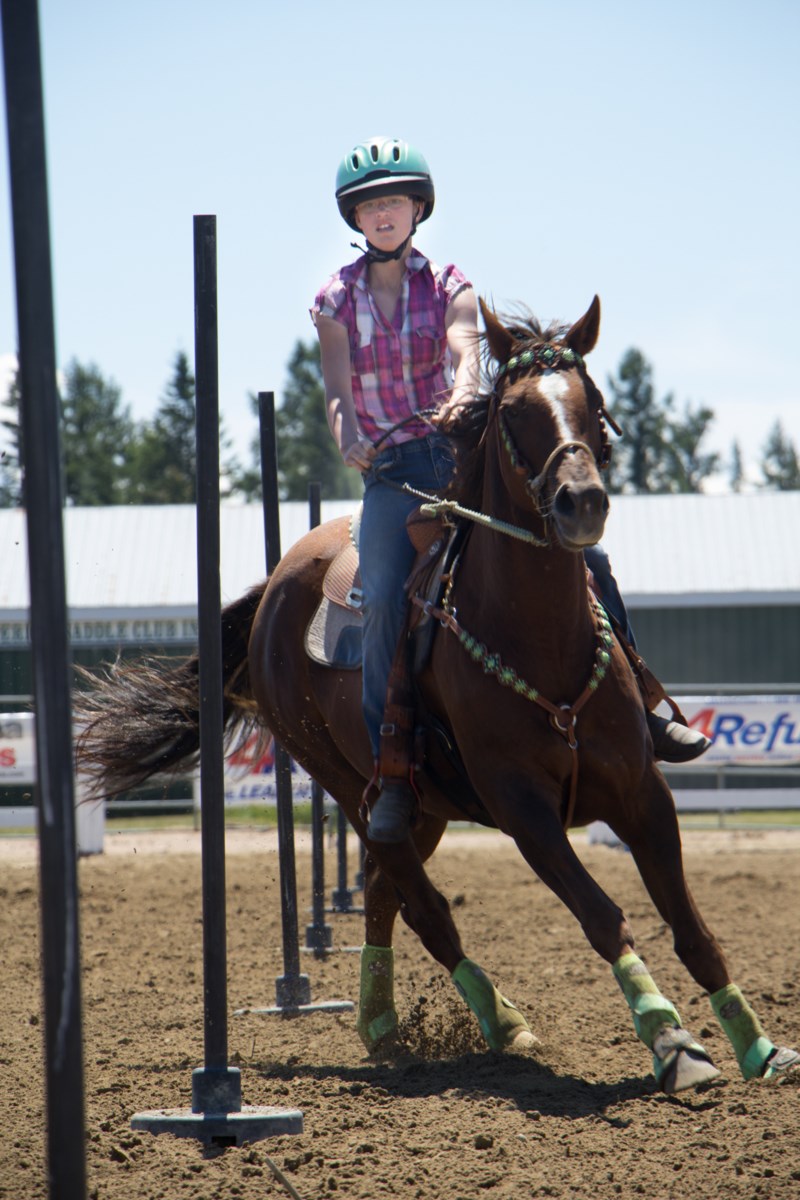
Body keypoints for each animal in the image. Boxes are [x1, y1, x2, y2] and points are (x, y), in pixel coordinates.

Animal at [73, 295, 796, 1094]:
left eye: (593, 403)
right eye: (514, 413)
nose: (582, 503)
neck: (540, 641)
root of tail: (275, 589)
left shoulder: (644, 794)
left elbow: (693, 927)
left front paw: (758, 1044)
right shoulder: (525, 811)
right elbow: (603, 916)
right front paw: (672, 1042)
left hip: (425, 808)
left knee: (383, 894)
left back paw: (382, 1021)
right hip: (353, 788)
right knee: (422, 905)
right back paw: (498, 1021)